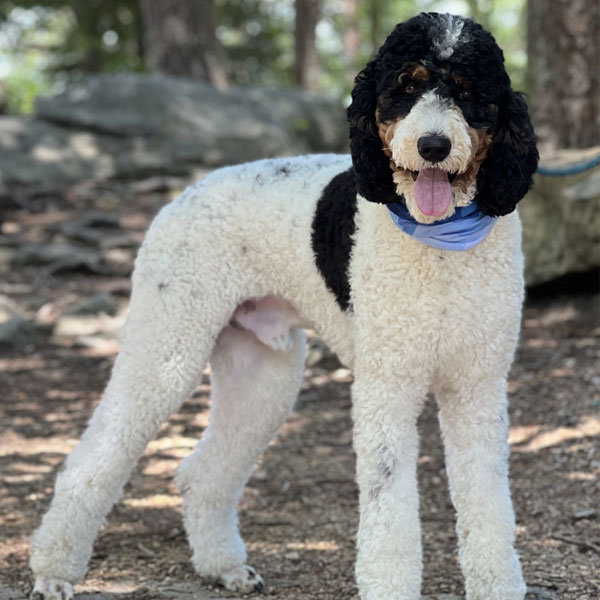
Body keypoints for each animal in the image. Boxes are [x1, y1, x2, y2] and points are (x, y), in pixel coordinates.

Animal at [31, 10, 540, 600]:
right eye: (405, 87)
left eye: (468, 92)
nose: (433, 145)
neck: (439, 246)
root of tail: (184, 195)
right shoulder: (386, 389)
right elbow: (389, 513)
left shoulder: (477, 389)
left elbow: (488, 505)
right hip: (167, 349)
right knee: (89, 463)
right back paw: (52, 571)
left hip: (263, 375)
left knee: (202, 473)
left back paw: (223, 565)